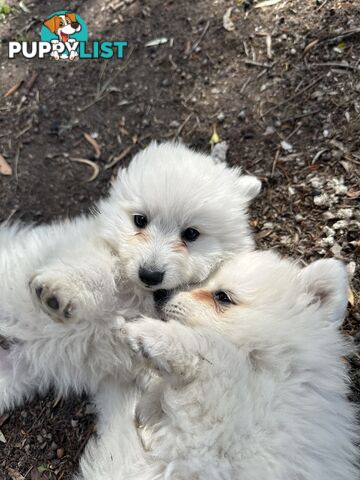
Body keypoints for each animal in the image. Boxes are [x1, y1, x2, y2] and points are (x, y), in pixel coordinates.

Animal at [0, 142, 260, 412]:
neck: (139, 295)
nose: (150, 275)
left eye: (191, 233)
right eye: (140, 220)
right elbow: (94, 269)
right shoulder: (94, 249)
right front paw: (58, 293)